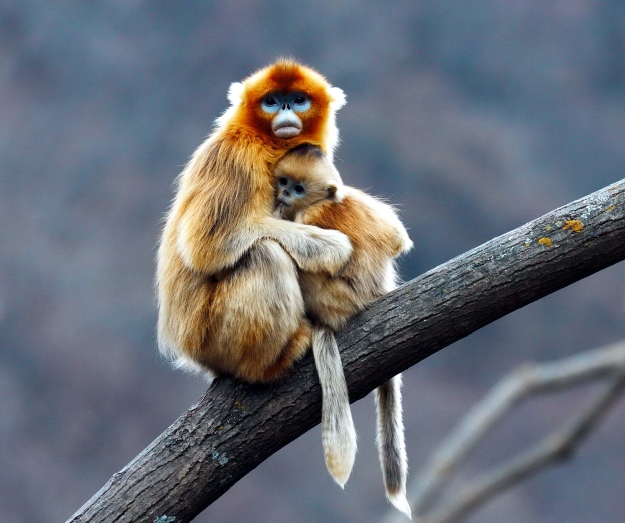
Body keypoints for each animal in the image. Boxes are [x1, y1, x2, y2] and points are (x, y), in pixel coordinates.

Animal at [274, 143, 414, 520]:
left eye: (299, 188)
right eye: (283, 182)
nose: (283, 195)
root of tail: (376, 292)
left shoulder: (308, 217)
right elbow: (398, 238)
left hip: (334, 300)